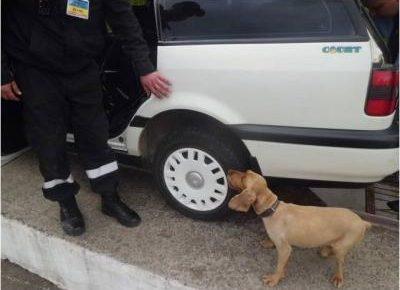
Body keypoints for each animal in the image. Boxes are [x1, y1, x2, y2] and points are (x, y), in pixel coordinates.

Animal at [228, 170, 372, 288]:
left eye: (244, 177)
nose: (229, 171)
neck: (272, 209)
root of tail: (362, 221)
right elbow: (283, 264)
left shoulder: (285, 249)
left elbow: (279, 267)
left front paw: (274, 279)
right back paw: (325, 248)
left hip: (341, 247)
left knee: (340, 262)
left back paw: (338, 277)